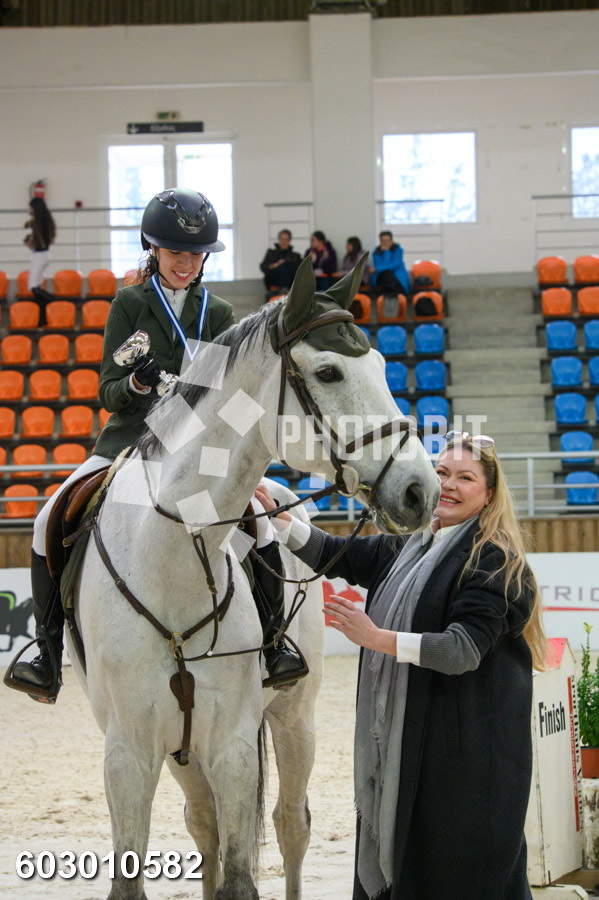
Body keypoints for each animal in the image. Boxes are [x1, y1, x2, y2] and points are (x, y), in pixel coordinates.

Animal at [69, 255, 440, 900]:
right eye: (328, 372)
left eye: (381, 366)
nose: (421, 490)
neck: (173, 555)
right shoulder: (129, 753)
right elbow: (135, 877)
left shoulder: (234, 746)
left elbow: (243, 875)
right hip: (181, 748)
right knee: (204, 824)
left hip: (295, 718)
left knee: (291, 823)